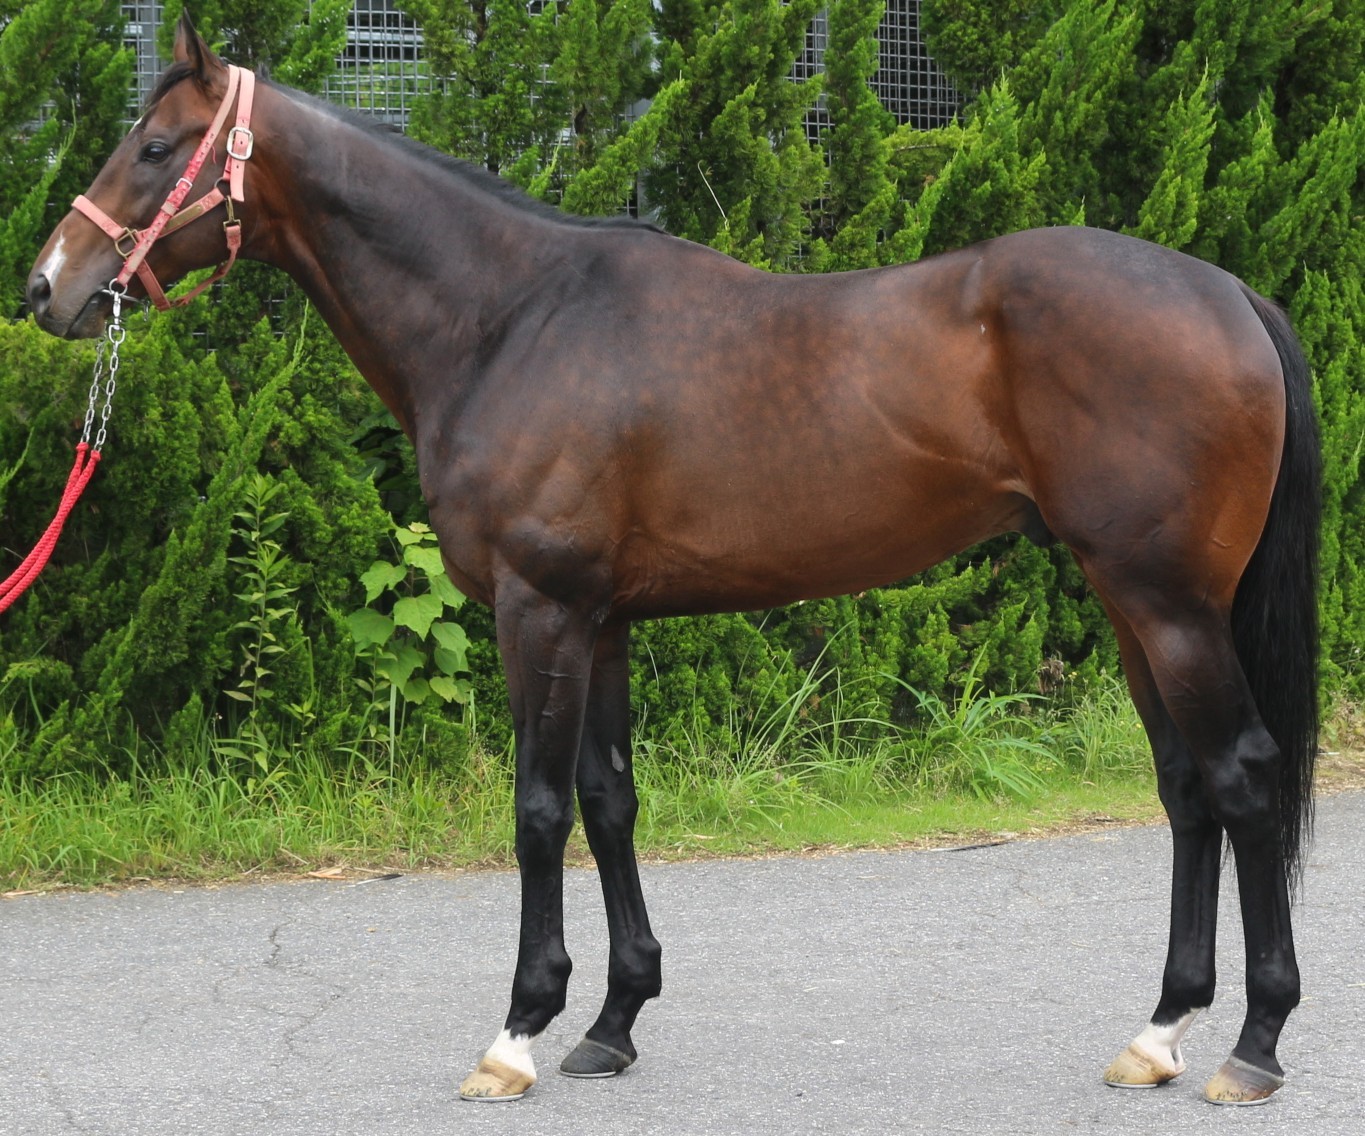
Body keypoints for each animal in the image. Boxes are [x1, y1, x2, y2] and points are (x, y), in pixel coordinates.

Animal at [26, 13, 1321, 1107]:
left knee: (1244, 774)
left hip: (1170, 604)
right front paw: (612, 1020)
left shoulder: (538, 609)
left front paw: (517, 1032)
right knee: (1187, 789)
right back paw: (1158, 1031)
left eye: (155, 147)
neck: (513, 317)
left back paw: (1254, 1046)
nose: (48, 287)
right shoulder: (600, 618)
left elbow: (539, 806)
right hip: (1134, 602)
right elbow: (610, 800)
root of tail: (1230, 291)